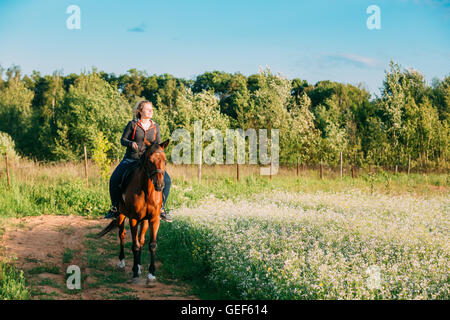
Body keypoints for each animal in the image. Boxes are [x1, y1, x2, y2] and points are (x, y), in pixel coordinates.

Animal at [97, 139, 170, 284]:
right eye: (150, 160)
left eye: (165, 161)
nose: (159, 185)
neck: (146, 191)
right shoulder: (134, 219)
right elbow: (134, 245)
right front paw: (135, 273)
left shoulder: (154, 219)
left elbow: (151, 244)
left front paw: (151, 274)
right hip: (120, 215)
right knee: (122, 235)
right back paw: (122, 263)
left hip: (145, 221)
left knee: (141, 241)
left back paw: (140, 266)